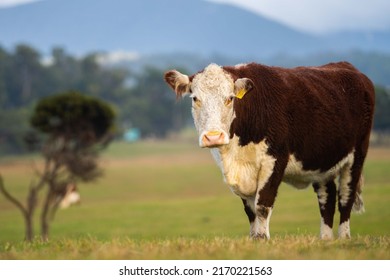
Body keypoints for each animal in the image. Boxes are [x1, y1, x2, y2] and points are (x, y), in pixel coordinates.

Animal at [164, 62, 374, 240]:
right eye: (195, 98)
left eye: (230, 98)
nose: (214, 136)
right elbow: (250, 210)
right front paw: (254, 239)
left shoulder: (274, 161)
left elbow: (262, 205)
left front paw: (263, 239)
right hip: (322, 162)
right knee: (327, 199)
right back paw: (326, 239)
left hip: (356, 156)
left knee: (345, 197)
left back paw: (344, 238)